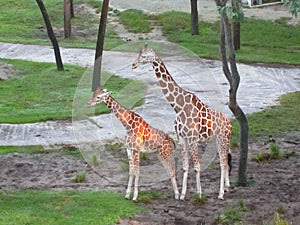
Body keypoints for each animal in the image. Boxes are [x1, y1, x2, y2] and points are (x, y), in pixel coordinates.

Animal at [132, 44, 233, 200]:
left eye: (143, 56)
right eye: (138, 54)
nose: (133, 64)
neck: (178, 108)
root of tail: (230, 123)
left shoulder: (192, 138)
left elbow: (197, 166)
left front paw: (199, 193)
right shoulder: (182, 138)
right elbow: (186, 166)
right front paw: (182, 194)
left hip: (223, 138)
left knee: (223, 162)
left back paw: (221, 193)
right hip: (217, 140)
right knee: (225, 161)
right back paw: (226, 187)